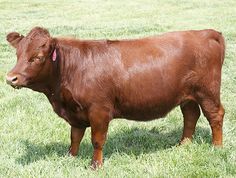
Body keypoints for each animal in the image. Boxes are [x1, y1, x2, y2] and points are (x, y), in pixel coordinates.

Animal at [5, 26, 225, 168]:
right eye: (18, 54)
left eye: (38, 57)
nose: (10, 78)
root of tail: (207, 32)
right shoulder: (75, 111)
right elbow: (75, 137)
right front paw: (70, 157)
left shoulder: (99, 110)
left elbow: (97, 140)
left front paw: (95, 165)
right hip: (187, 95)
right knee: (191, 115)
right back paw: (183, 144)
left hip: (207, 91)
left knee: (215, 115)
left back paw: (217, 147)